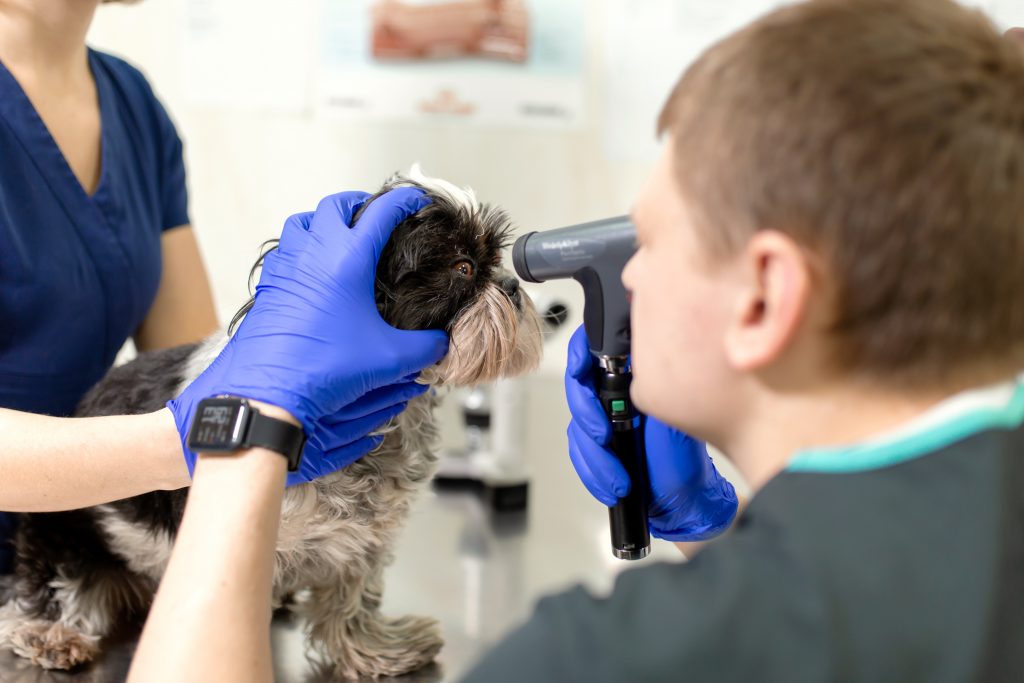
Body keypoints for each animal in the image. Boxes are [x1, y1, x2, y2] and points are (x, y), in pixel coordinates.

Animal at [0, 167, 544, 679]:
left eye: (496, 259)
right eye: (462, 267)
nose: (513, 286)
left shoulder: (364, 543)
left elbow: (353, 600)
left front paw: (374, 650)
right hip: (62, 531)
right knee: (41, 592)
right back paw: (49, 631)